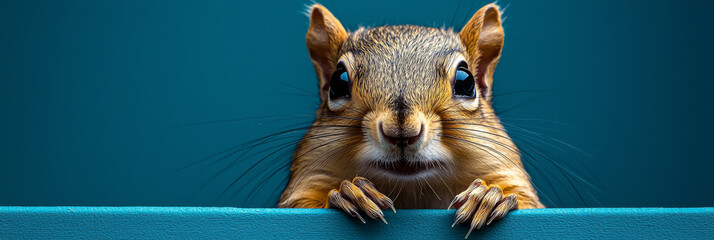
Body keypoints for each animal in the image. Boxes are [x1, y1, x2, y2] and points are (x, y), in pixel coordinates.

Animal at [276, 2, 540, 237]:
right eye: (338, 83)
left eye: (466, 82)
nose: (401, 132)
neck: (412, 192)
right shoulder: (308, 176)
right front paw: (348, 192)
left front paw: (490, 196)